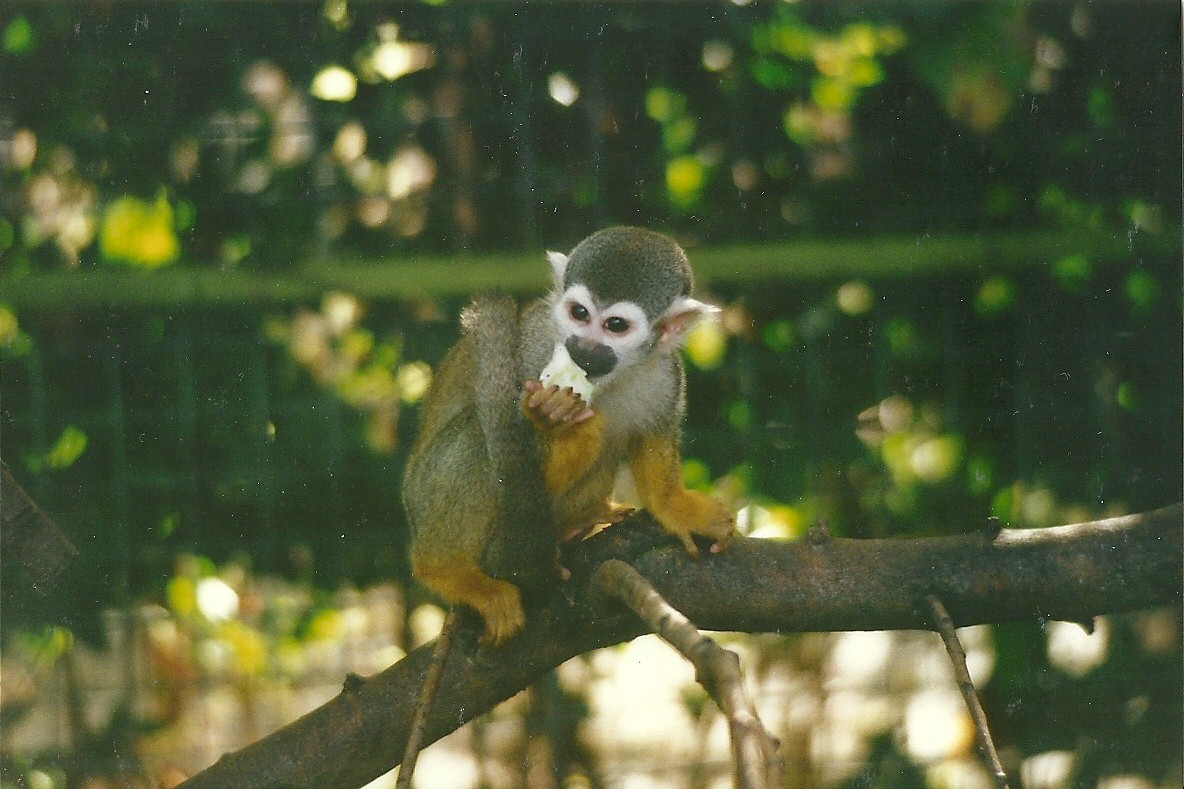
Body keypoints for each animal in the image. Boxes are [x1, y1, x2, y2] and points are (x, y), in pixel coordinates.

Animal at [402, 225, 736, 649]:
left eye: (615, 325)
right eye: (579, 314)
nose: (582, 349)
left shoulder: (666, 373)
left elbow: (654, 432)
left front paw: (673, 505)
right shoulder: (531, 356)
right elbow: (518, 475)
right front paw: (562, 424)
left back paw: (576, 522)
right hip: (424, 496)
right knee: (478, 437)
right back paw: (445, 569)